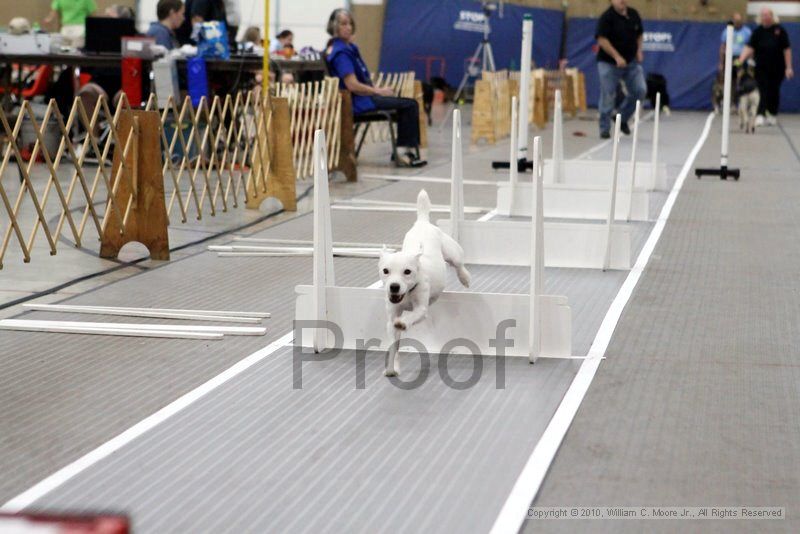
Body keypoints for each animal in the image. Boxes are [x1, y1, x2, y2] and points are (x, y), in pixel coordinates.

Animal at [378, 191, 472, 378]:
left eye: (407, 272)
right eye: (385, 271)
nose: (394, 286)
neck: (407, 294)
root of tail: (422, 222)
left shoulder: (421, 309)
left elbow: (411, 316)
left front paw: (404, 322)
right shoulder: (391, 318)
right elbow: (394, 346)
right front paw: (392, 368)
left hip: (452, 252)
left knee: (459, 264)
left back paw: (465, 278)